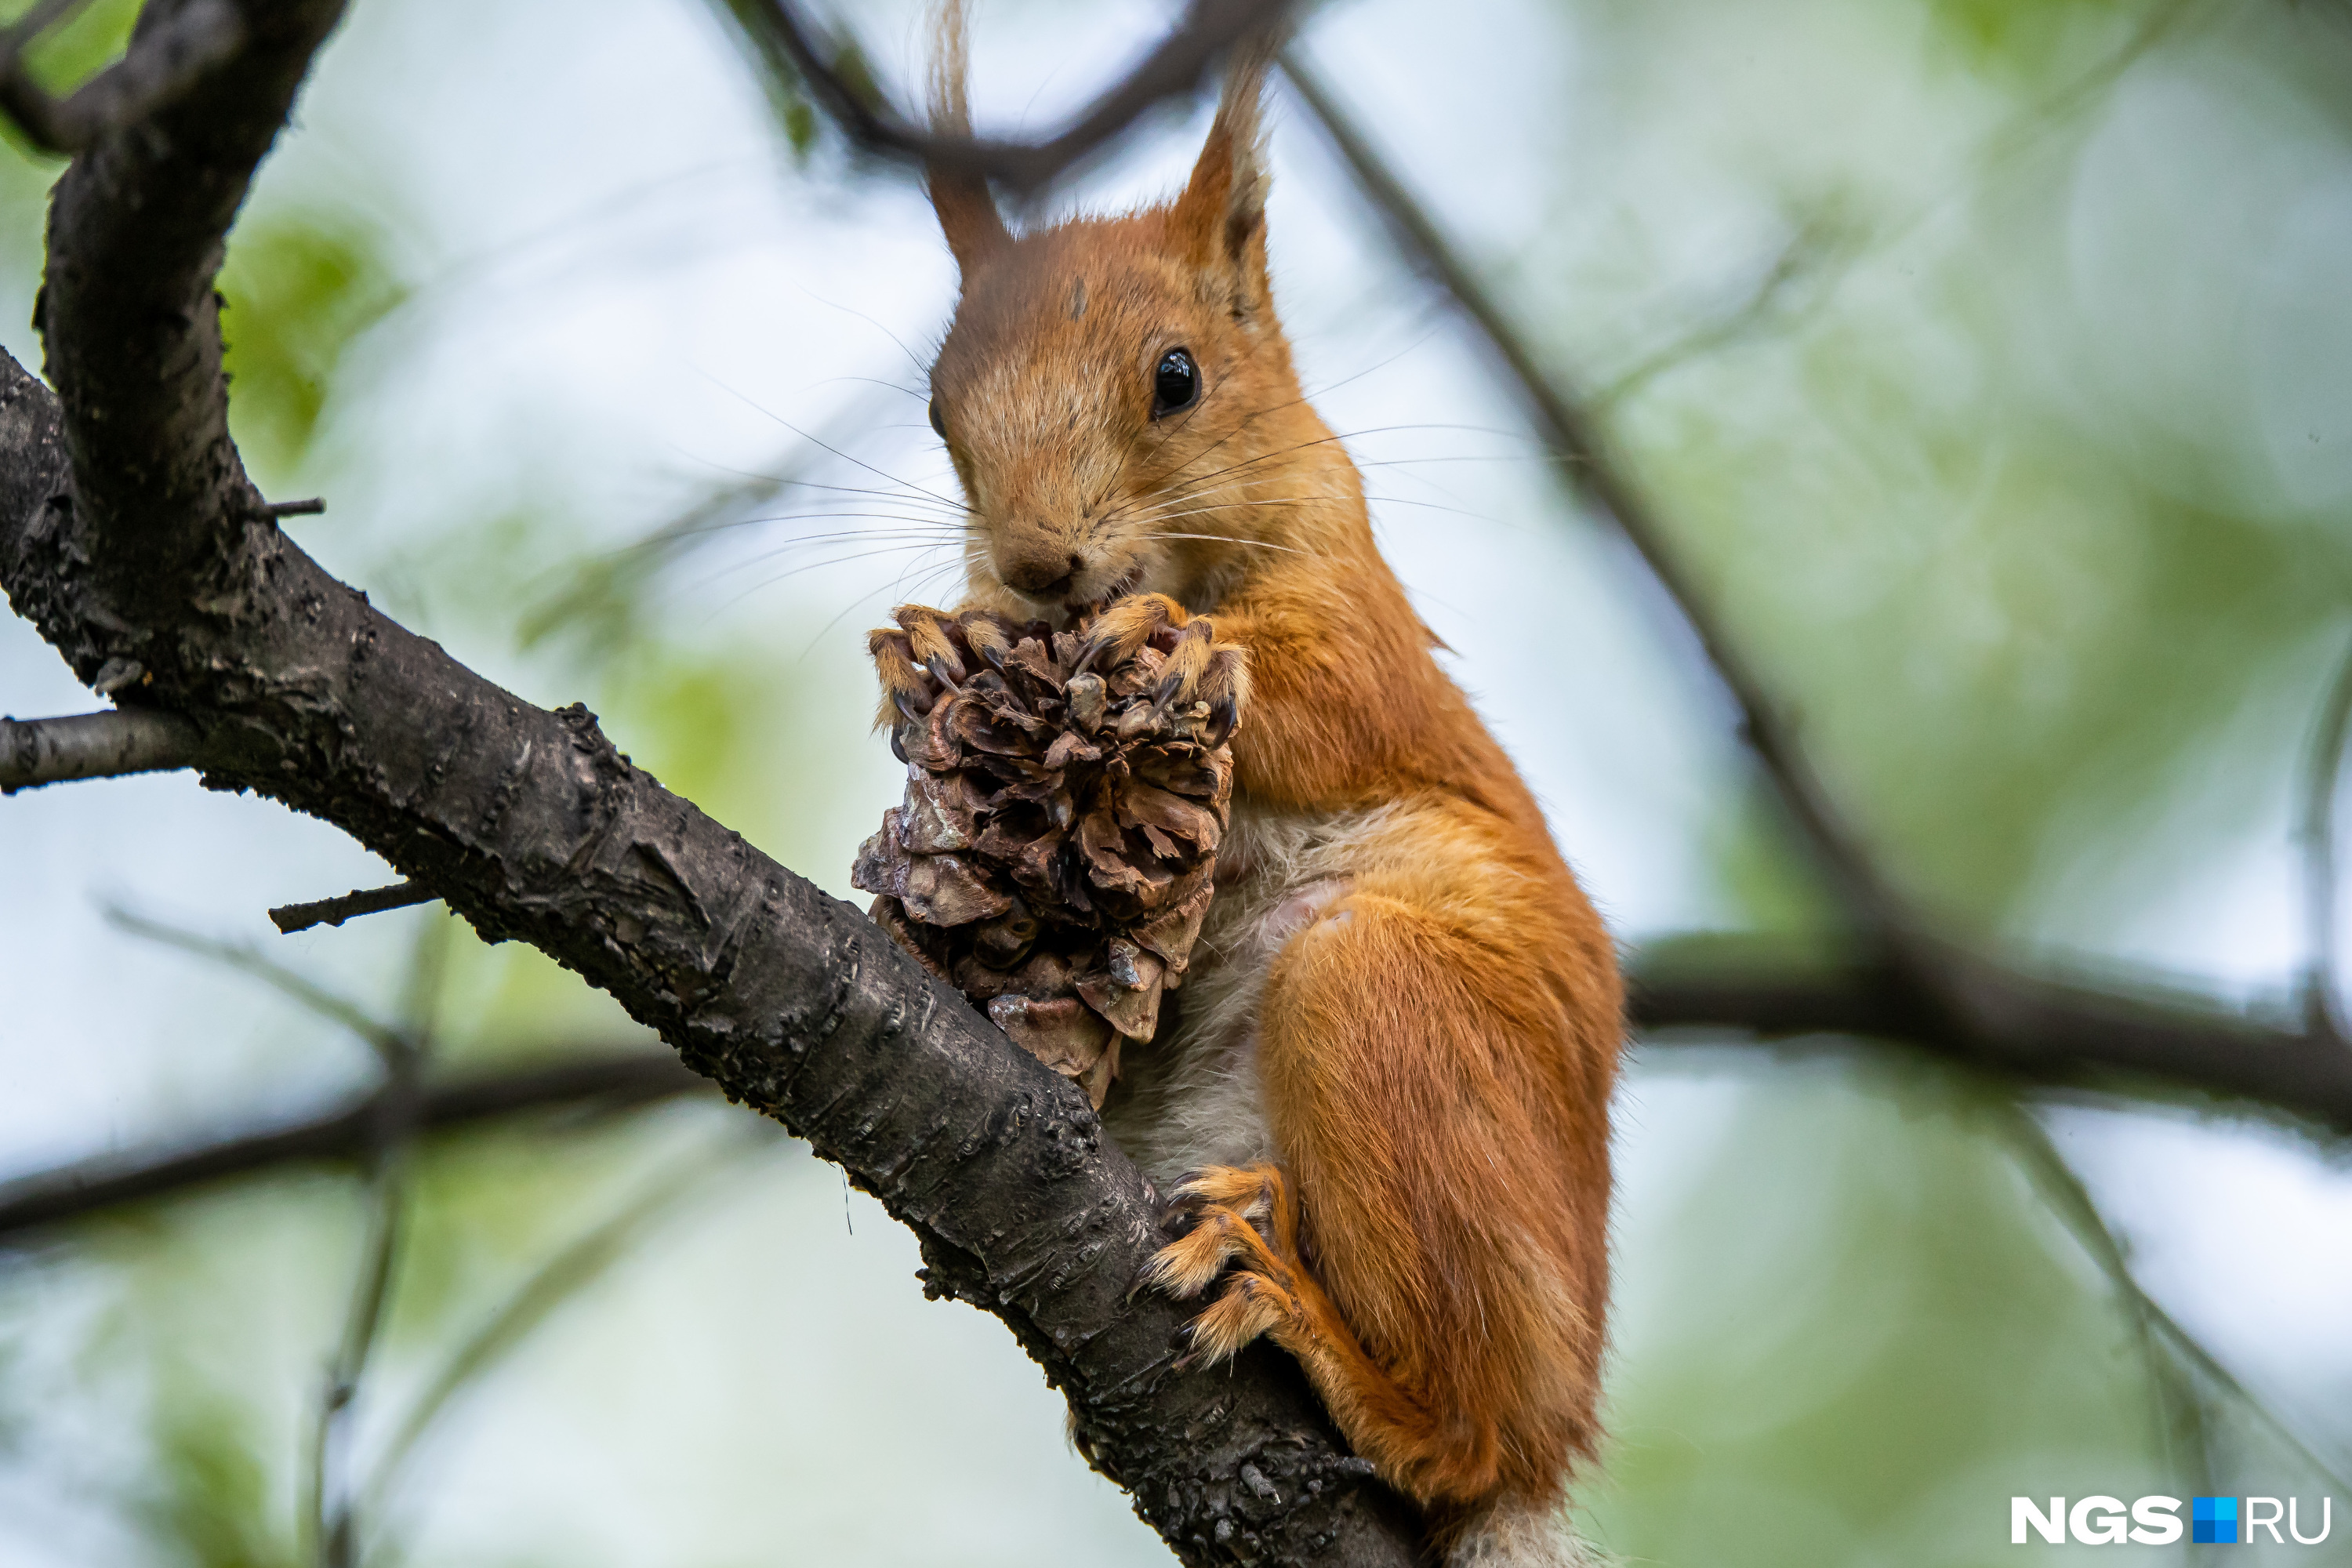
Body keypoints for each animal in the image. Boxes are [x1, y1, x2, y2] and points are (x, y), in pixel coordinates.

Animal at [875, 15, 1628, 1568]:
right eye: (935, 409)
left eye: (1177, 376)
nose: (1036, 564)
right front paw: (937, 640)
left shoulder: (1365, 621)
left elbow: (1321, 691)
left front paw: (1172, 646)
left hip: (1380, 1008)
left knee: (1472, 1435)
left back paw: (1321, 1335)